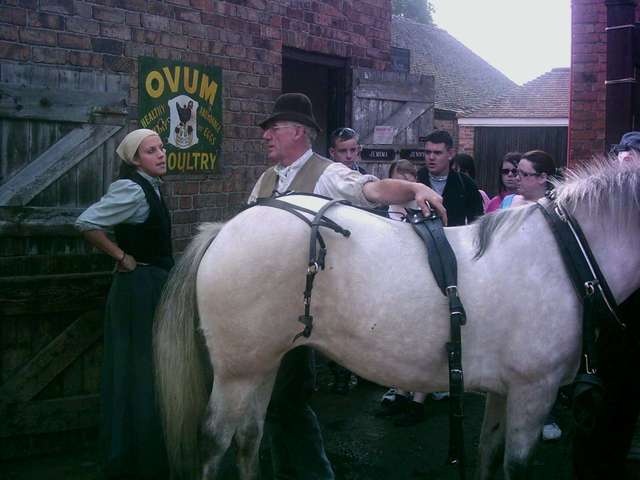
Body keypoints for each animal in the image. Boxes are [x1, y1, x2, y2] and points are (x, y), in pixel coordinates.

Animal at [154, 158, 640, 480]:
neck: (563, 253)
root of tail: (226, 228)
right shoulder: (533, 391)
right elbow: (514, 466)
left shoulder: (506, 392)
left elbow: (487, 453)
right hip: (237, 370)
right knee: (216, 440)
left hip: (261, 363)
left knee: (248, 436)